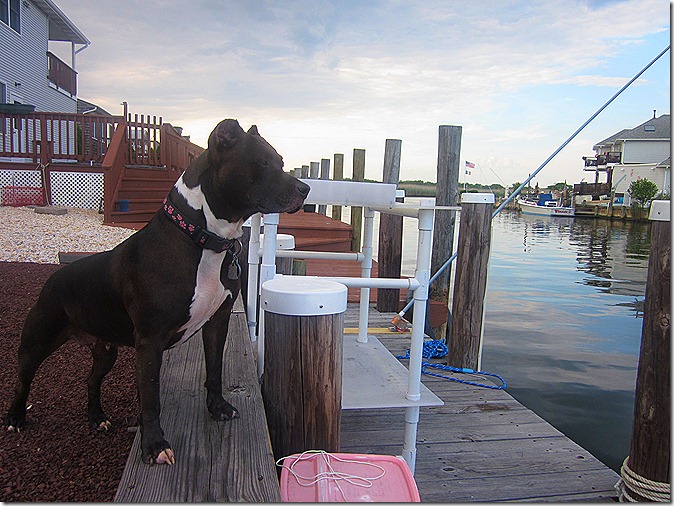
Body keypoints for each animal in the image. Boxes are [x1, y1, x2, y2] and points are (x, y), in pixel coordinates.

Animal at [5, 119, 310, 465]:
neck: (200, 237)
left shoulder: (217, 322)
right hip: (37, 342)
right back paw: (15, 418)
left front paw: (217, 408)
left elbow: (215, 370)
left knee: (92, 379)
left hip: (105, 349)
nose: (305, 190)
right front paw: (153, 444)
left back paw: (97, 417)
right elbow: (150, 397)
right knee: (22, 380)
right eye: (263, 163)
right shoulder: (150, 340)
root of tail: (55, 275)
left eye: (282, 162)